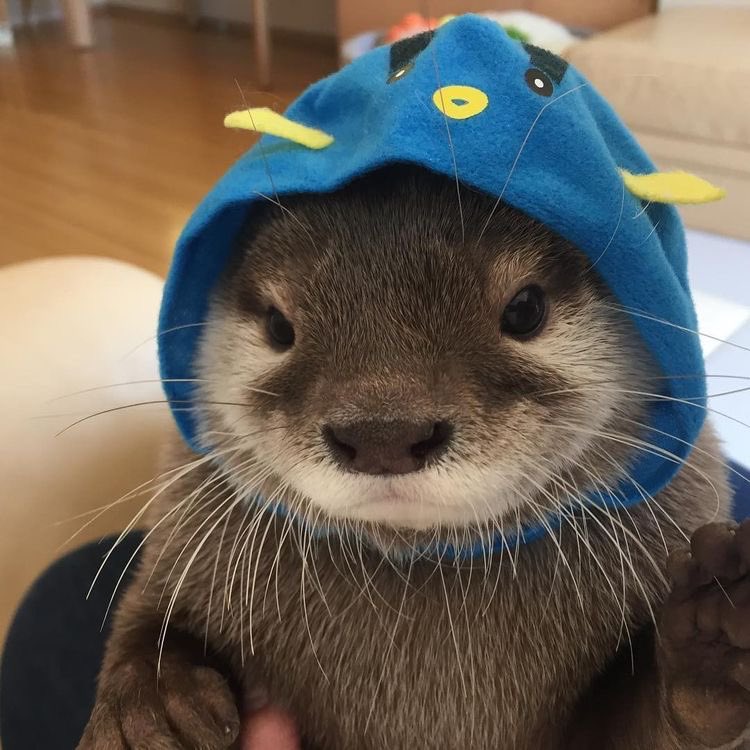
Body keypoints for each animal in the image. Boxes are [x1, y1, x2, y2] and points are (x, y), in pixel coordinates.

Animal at [77, 165, 750, 750]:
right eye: (277, 326)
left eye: (525, 309)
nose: (383, 433)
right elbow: (141, 618)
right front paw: (150, 700)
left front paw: (714, 643)